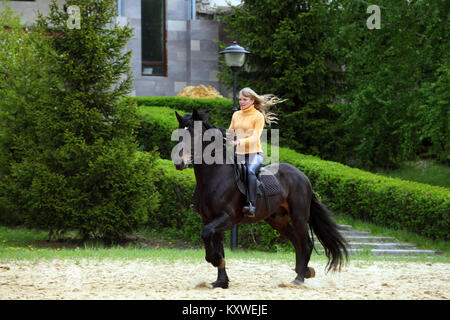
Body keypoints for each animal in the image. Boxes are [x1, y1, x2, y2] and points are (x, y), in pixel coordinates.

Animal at [174, 109, 346, 288]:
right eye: (179, 134)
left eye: (195, 134)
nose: (179, 162)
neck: (215, 176)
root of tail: (303, 176)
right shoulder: (210, 219)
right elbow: (215, 243)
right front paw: (221, 280)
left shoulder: (227, 218)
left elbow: (206, 234)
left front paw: (215, 260)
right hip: (278, 220)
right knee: (296, 242)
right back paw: (302, 272)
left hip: (299, 217)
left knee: (305, 243)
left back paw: (299, 278)